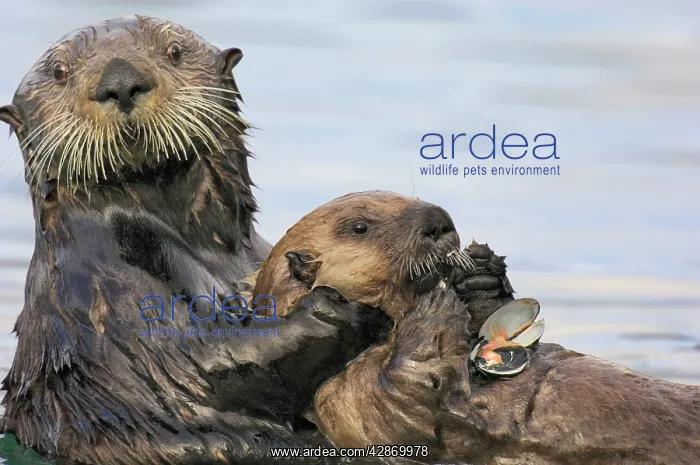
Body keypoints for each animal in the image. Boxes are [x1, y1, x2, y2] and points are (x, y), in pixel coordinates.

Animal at [0, 16, 414, 465]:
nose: (120, 81)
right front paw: (342, 305)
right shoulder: (104, 285)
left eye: (174, 52)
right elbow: (203, 363)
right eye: (59, 73)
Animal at [244, 191, 700, 464]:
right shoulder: (347, 400)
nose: (438, 220)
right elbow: (406, 392)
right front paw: (435, 302)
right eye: (360, 227)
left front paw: (481, 276)